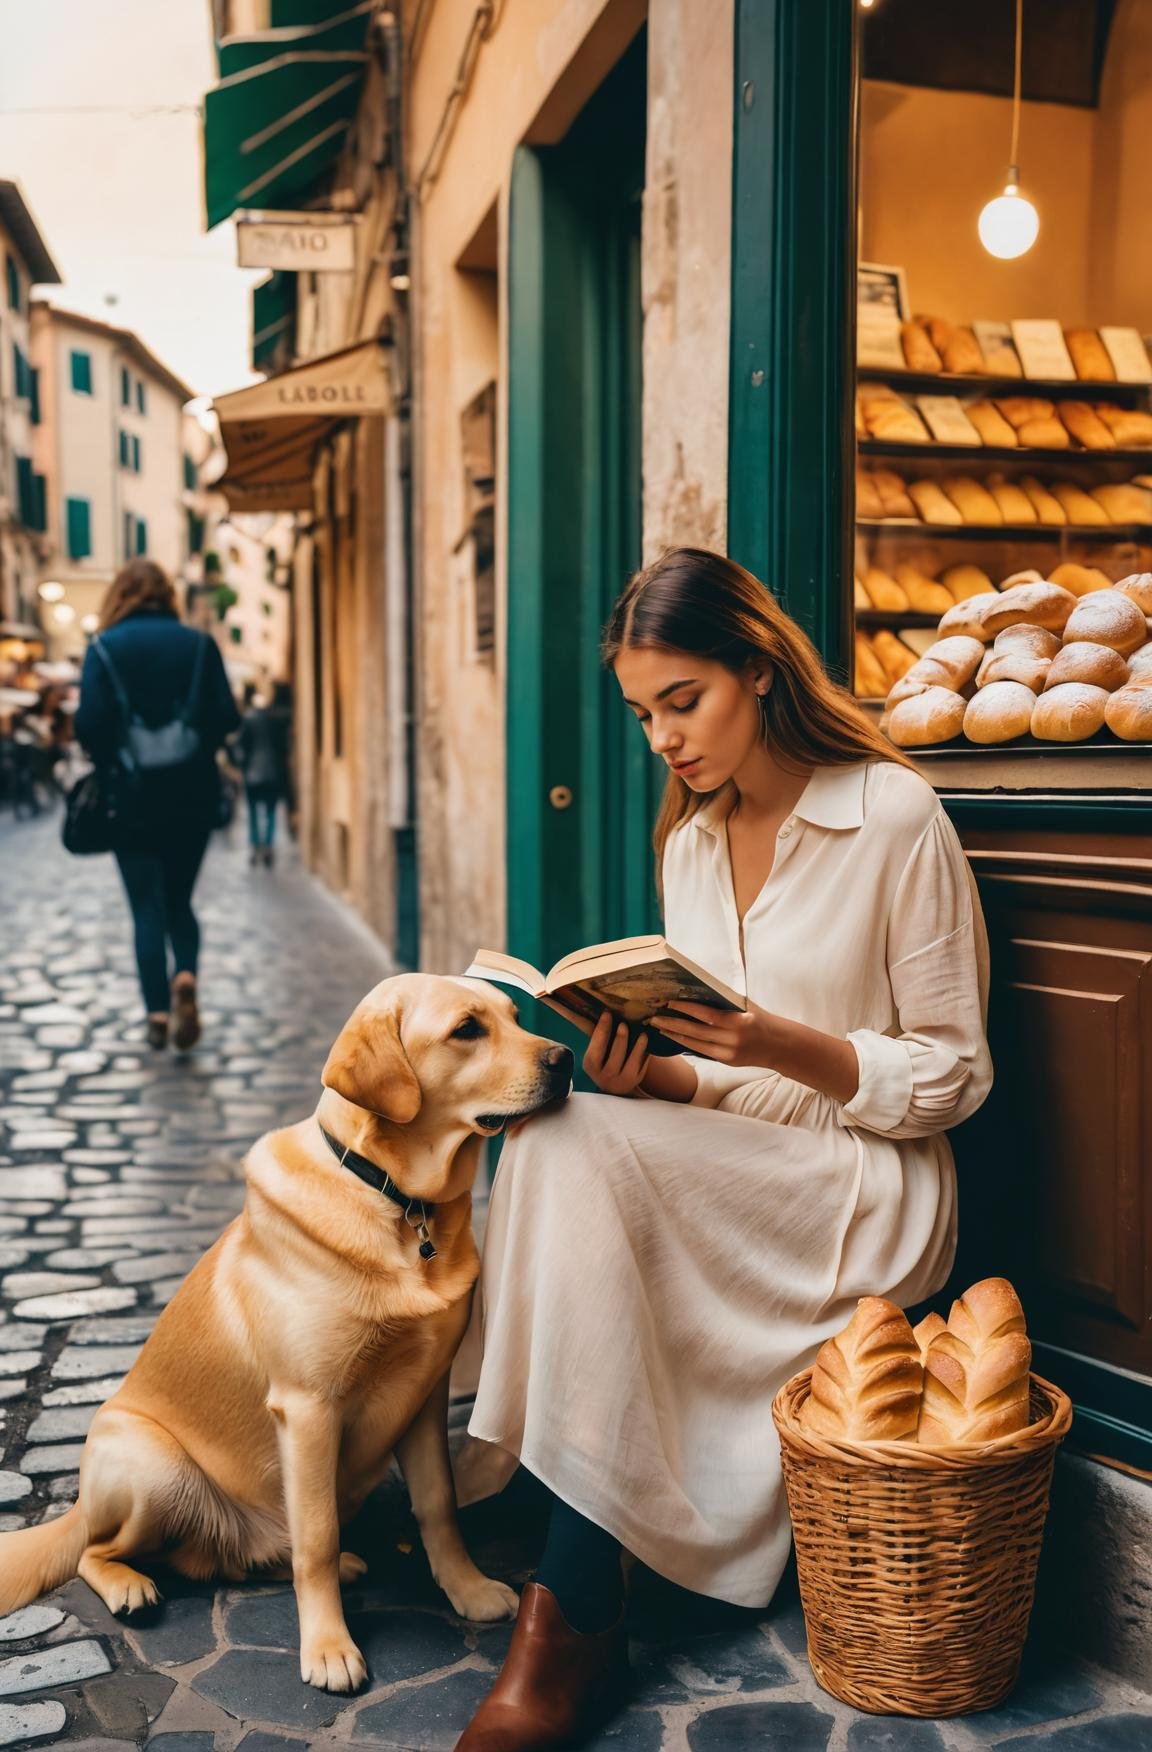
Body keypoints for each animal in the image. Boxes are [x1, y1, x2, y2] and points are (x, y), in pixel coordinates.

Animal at [0, 981, 570, 1688]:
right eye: (467, 1029)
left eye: (516, 1017)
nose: (567, 1060)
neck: (396, 1201)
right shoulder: (309, 1408)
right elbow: (318, 1539)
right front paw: (328, 1647)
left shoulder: (426, 1394)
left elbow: (437, 1504)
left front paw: (466, 1588)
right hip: (153, 1466)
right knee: (94, 1551)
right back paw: (129, 1585)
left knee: (238, 1557)